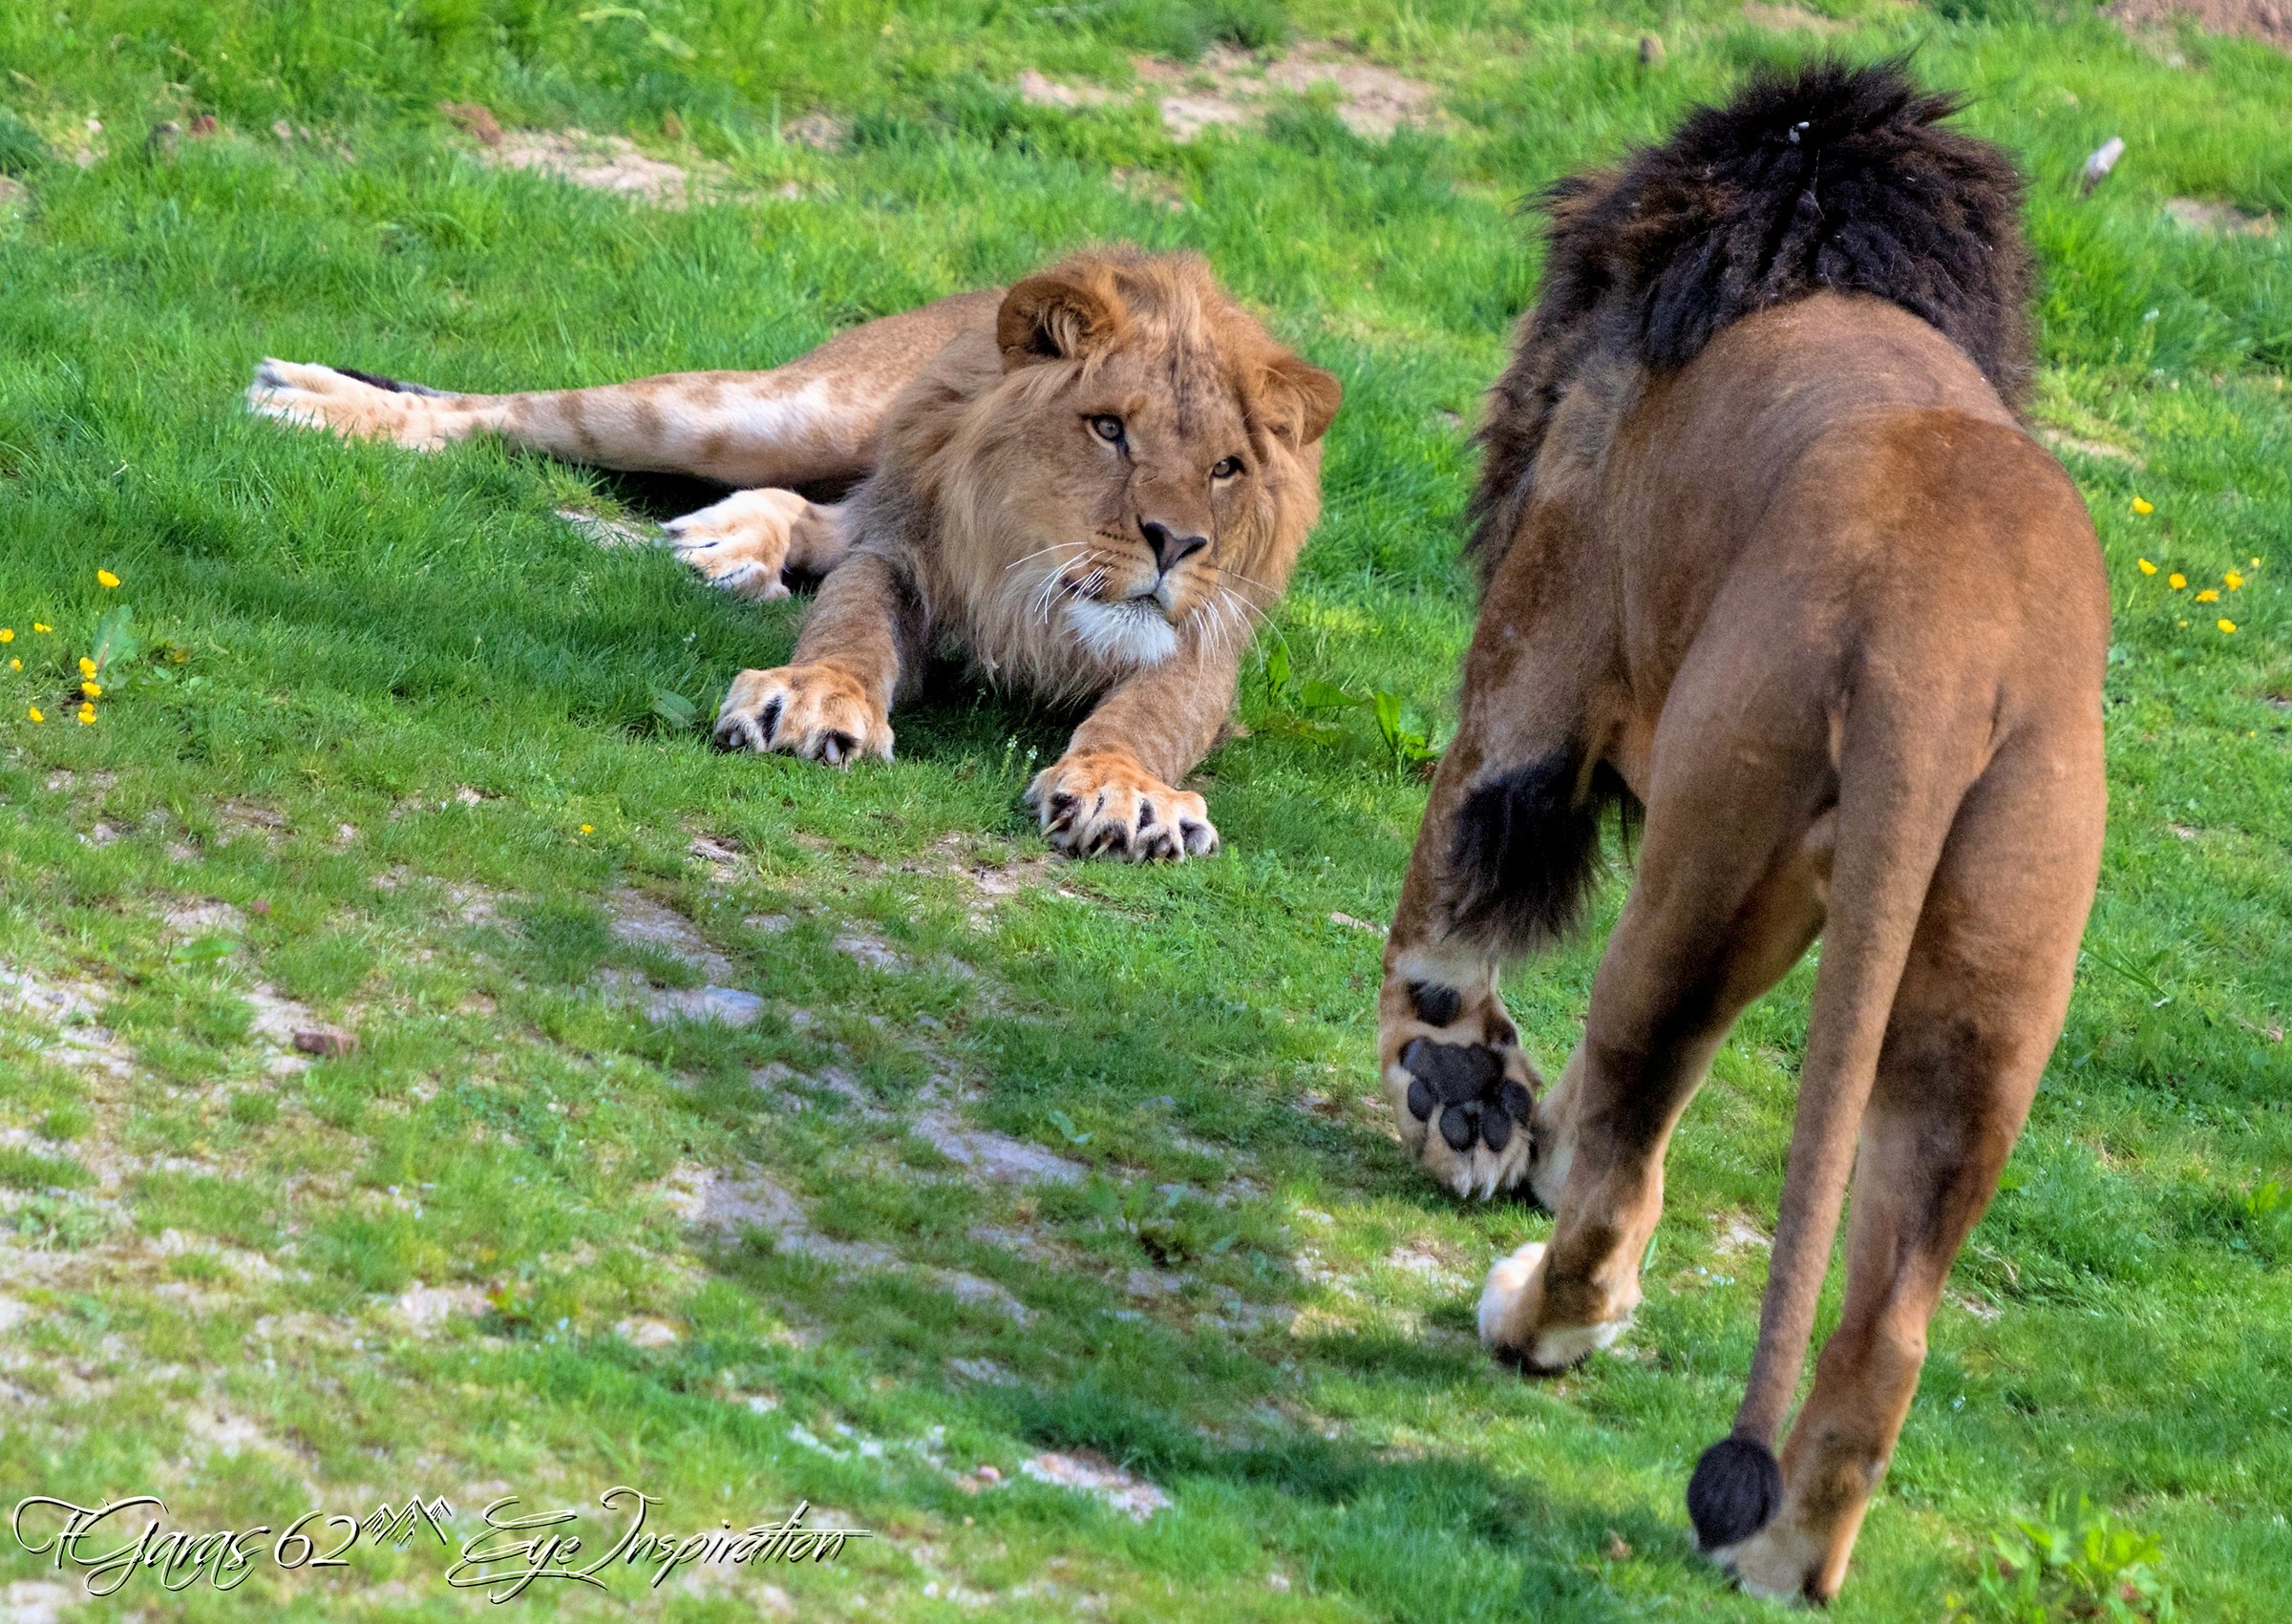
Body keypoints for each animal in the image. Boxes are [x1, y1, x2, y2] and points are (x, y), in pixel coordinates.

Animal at [247, 248, 1340, 860]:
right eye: (1110, 429)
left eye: (1227, 469)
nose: (1177, 542)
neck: (1042, 599)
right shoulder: (902, 552)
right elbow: (850, 625)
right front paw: (813, 701)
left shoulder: (1206, 642)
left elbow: (1150, 716)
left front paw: (1124, 791)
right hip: (773, 412)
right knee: (513, 410)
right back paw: (306, 400)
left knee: (810, 511)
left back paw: (726, 550)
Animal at [1371, 63, 2106, 1602]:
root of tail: (1942, 642)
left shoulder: (1538, 650)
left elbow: (1445, 917)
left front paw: (1454, 1095)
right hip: (1989, 987)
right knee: (1889, 1321)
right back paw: (1784, 1556)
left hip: (1704, 867)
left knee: (1624, 1155)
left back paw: (1535, 1319)